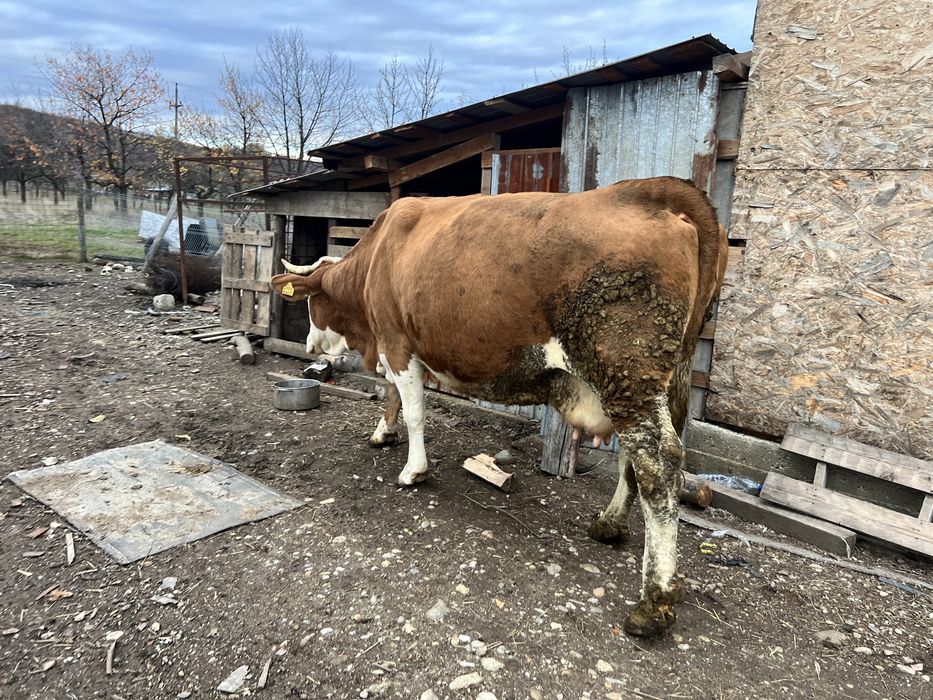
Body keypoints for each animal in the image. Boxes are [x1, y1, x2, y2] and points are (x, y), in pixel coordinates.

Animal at [270, 176, 728, 637]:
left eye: (310, 303)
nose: (308, 343)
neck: (376, 256)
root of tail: (651, 192)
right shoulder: (397, 345)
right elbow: (393, 395)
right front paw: (384, 433)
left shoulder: (396, 341)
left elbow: (415, 410)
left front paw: (414, 470)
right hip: (661, 378)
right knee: (637, 458)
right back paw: (610, 524)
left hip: (627, 371)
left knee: (659, 466)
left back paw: (655, 599)